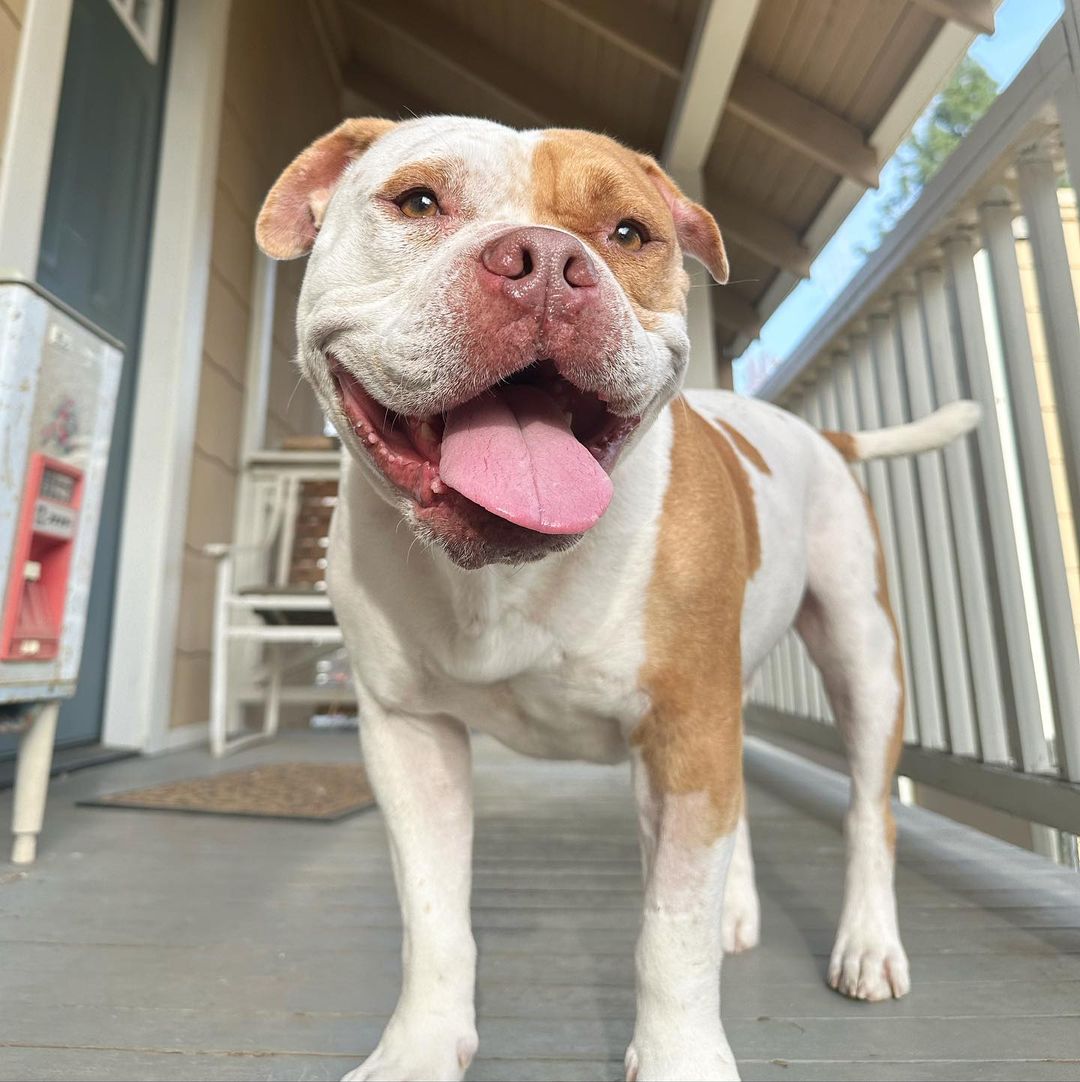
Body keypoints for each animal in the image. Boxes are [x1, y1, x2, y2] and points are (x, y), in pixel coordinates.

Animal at [255, 118, 982, 1082]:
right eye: (417, 201)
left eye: (630, 233)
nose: (544, 261)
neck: (505, 575)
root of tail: (815, 432)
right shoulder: (410, 738)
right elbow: (434, 917)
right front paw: (419, 1048)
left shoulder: (685, 726)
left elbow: (670, 934)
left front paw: (681, 1058)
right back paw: (740, 911)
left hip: (864, 657)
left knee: (868, 812)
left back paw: (866, 944)